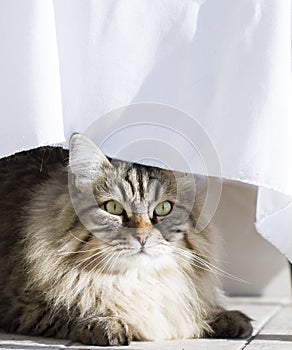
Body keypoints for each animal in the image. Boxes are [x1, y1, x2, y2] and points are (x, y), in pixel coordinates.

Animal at [0, 133, 252, 344]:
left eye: (163, 208)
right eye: (113, 207)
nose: (142, 236)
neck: (133, 280)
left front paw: (224, 316)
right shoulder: (22, 305)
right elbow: (70, 309)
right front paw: (107, 323)